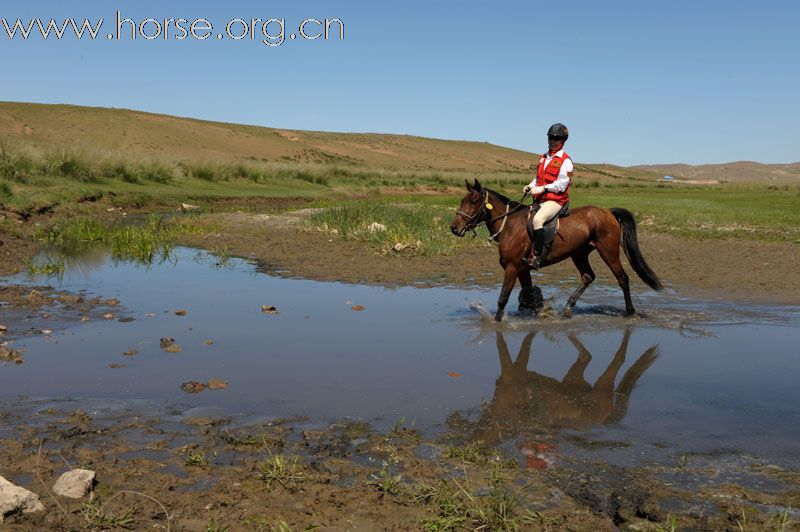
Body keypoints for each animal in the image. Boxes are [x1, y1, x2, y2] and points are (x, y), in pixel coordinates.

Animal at [450, 179, 664, 320]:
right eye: (462, 200)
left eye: (474, 201)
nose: (454, 228)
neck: (509, 225)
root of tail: (608, 212)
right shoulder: (523, 269)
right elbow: (529, 294)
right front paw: (540, 311)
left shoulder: (512, 267)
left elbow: (503, 298)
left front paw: (497, 323)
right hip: (579, 254)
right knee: (588, 276)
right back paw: (569, 307)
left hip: (609, 253)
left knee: (623, 279)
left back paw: (630, 312)